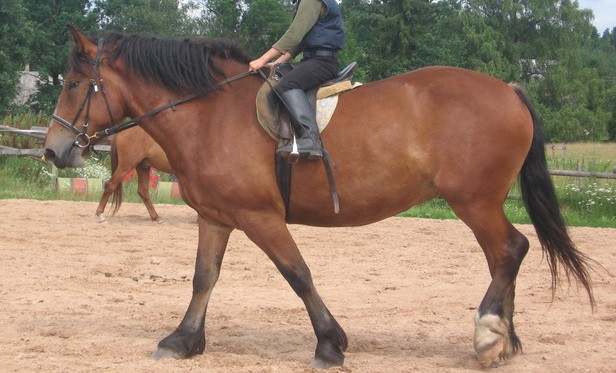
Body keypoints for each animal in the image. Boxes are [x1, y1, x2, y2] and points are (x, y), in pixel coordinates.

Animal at [42, 27, 592, 368]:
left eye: (75, 84)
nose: (53, 150)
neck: (208, 114)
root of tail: (509, 88)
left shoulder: (260, 217)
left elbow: (298, 274)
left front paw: (330, 344)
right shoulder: (216, 217)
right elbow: (204, 278)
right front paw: (182, 340)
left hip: (474, 202)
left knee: (509, 250)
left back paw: (489, 335)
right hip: (479, 203)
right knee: (507, 255)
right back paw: (504, 341)